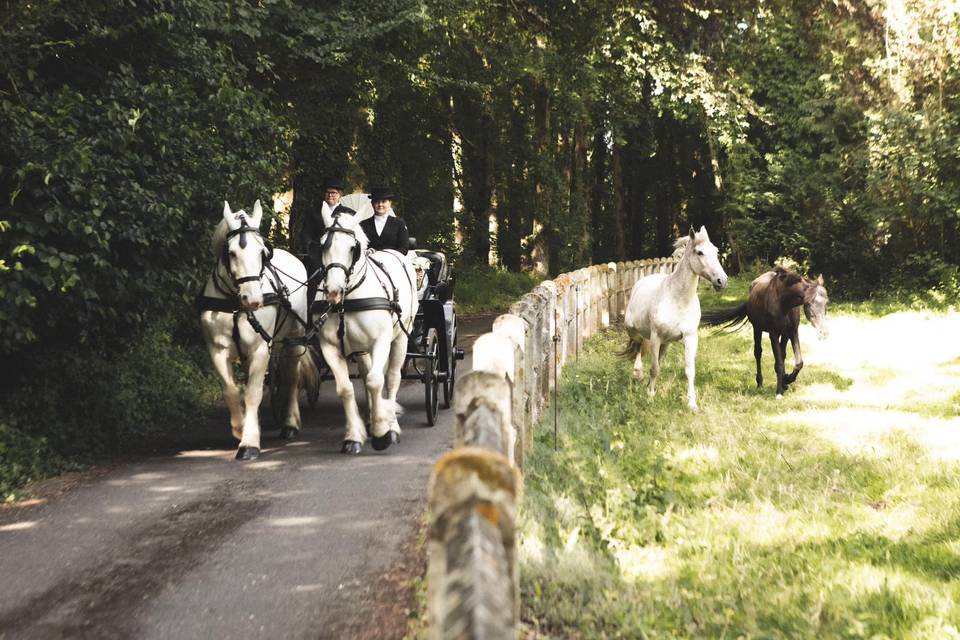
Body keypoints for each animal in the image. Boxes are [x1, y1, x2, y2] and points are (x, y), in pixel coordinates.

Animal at [199, 202, 308, 458]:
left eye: (261, 253)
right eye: (231, 253)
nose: (254, 300)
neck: (235, 304)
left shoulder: (260, 348)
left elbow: (253, 393)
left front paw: (249, 443)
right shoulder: (217, 350)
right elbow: (232, 391)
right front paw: (241, 428)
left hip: (294, 339)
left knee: (291, 378)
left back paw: (289, 423)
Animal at [316, 208, 418, 452]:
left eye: (353, 248)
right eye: (322, 245)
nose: (333, 292)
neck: (346, 302)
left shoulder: (380, 341)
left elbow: (376, 381)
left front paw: (383, 432)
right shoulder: (329, 346)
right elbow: (346, 389)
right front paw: (354, 436)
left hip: (400, 339)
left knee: (391, 378)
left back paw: (391, 424)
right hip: (362, 349)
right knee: (366, 375)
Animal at [624, 228, 728, 412]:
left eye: (716, 251)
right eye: (699, 252)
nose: (722, 281)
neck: (678, 300)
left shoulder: (690, 337)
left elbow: (689, 370)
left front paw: (692, 404)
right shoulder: (656, 337)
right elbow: (654, 369)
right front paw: (650, 399)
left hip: (666, 343)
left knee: (656, 357)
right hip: (634, 330)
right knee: (638, 345)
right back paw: (638, 374)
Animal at [700, 264, 828, 396]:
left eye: (825, 303)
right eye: (809, 304)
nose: (824, 332)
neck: (785, 302)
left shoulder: (791, 332)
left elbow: (798, 362)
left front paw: (786, 380)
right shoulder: (774, 334)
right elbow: (778, 363)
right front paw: (779, 391)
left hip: (782, 334)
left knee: (782, 354)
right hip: (757, 329)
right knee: (758, 353)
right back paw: (760, 383)